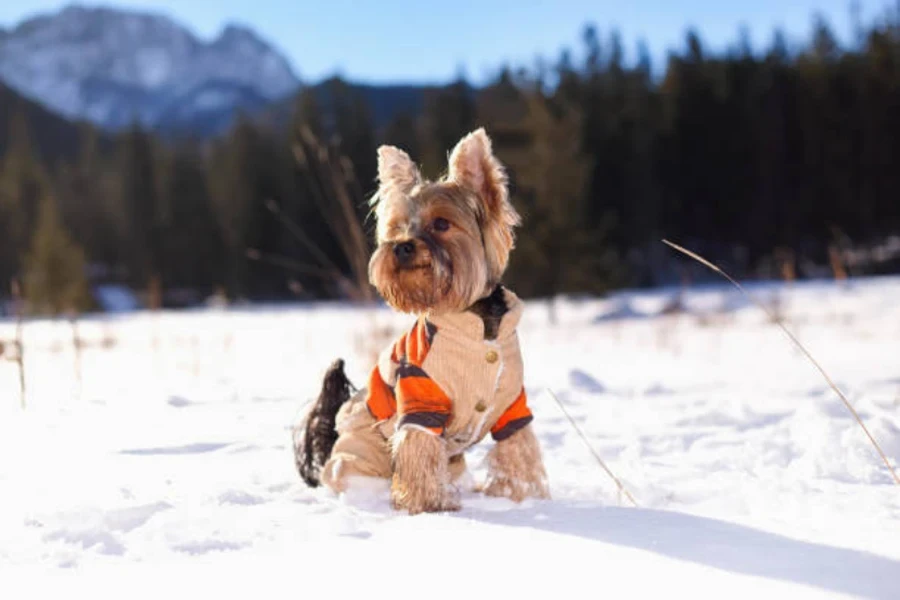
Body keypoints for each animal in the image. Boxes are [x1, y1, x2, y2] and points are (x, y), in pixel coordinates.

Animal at [294, 129, 548, 512]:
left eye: (441, 223)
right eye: (397, 227)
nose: (401, 246)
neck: (475, 322)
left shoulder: (512, 405)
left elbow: (517, 448)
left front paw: (518, 495)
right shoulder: (419, 395)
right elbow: (419, 448)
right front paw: (430, 504)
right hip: (359, 457)